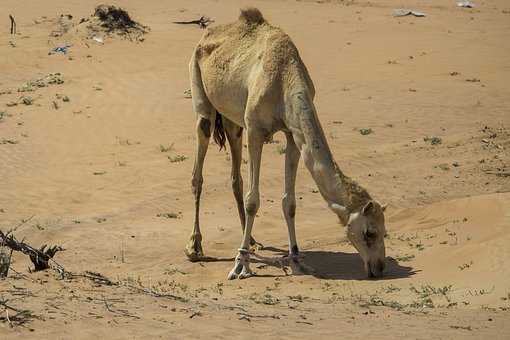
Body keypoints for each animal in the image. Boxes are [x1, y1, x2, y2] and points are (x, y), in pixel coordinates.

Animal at [186, 7, 386, 278]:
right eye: (369, 233)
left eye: (384, 231)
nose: (379, 267)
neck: (284, 78)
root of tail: (205, 37)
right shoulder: (256, 130)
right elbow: (253, 200)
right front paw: (241, 265)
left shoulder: (293, 134)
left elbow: (289, 203)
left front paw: (296, 260)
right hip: (201, 94)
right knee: (199, 167)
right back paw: (195, 247)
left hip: (232, 120)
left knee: (236, 175)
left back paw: (251, 241)